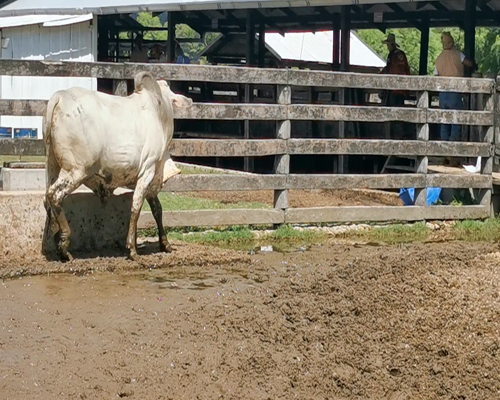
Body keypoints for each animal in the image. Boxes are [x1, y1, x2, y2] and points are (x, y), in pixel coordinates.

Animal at [43, 72, 193, 262]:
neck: (159, 113)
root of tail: (61, 96)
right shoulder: (148, 170)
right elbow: (136, 207)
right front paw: (132, 249)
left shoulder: (151, 179)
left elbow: (157, 209)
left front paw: (165, 244)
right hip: (76, 170)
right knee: (54, 195)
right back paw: (64, 245)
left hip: (52, 165)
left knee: (47, 199)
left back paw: (56, 240)